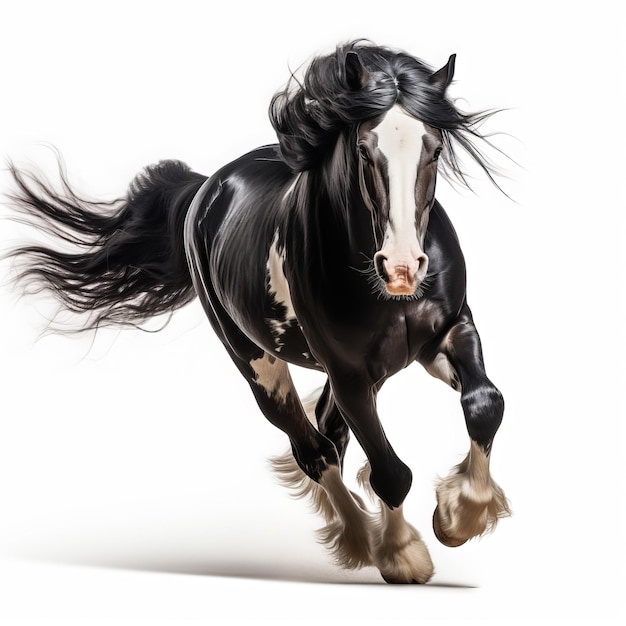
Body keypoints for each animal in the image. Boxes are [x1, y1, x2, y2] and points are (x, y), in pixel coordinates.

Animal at [7, 41, 510, 584]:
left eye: (433, 148)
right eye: (362, 149)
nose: (400, 269)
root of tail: (207, 189)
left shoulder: (448, 333)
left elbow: (485, 403)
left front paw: (459, 518)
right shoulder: (350, 373)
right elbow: (390, 471)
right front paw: (404, 555)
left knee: (328, 433)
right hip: (257, 363)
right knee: (313, 449)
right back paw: (358, 539)